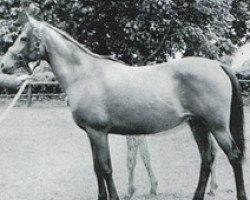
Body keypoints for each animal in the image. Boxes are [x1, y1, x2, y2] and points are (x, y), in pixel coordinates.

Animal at [0, 14, 246, 200]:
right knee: (207, 159)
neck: (84, 74)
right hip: (198, 125)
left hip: (217, 127)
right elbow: (97, 168)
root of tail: (217, 65)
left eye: (23, 38)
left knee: (234, 156)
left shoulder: (98, 132)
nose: (4, 64)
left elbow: (106, 168)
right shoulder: (91, 133)